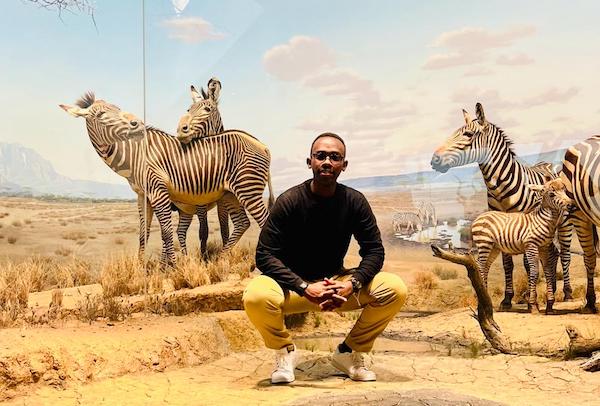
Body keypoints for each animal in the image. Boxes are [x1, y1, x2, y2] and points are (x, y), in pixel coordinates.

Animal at [61, 93, 274, 268]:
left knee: (263, 220)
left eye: (118, 108)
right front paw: (141, 269)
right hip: (230, 194)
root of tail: (262, 144)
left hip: (247, 189)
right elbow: (144, 234)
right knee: (242, 223)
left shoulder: (159, 192)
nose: (137, 123)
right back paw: (220, 258)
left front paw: (172, 267)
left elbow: (166, 232)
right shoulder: (143, 196)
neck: (135, 156)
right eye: (100, 115)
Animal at [474, 178, 572, 314]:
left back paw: (486, 299)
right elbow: (534, 272)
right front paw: (533, 305)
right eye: (552, 194)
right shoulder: (531, 246)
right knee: (480, 266)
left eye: (565, 190)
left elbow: (547, 270)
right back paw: (481, 302)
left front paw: (549, 306)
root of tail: (480, 216)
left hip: (494, 248)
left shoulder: (544, 248)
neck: (543, 220)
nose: (571, 205)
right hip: (484, 244)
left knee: (486, 266)